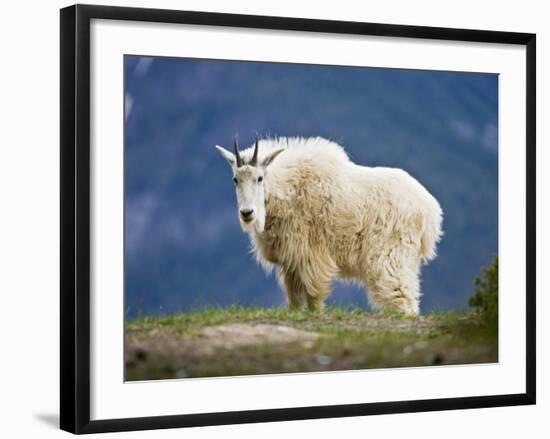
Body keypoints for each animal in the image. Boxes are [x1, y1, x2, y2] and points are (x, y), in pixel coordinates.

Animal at [216, 136, 444, 314]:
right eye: (235, 179)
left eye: (260, 178)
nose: (247, 213)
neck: (287, 190)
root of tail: (429, 209)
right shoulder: (291, 261)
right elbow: (295, 301)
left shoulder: (311, 256)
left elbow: (314, 297)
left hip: (391, 255)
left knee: (402, 299)